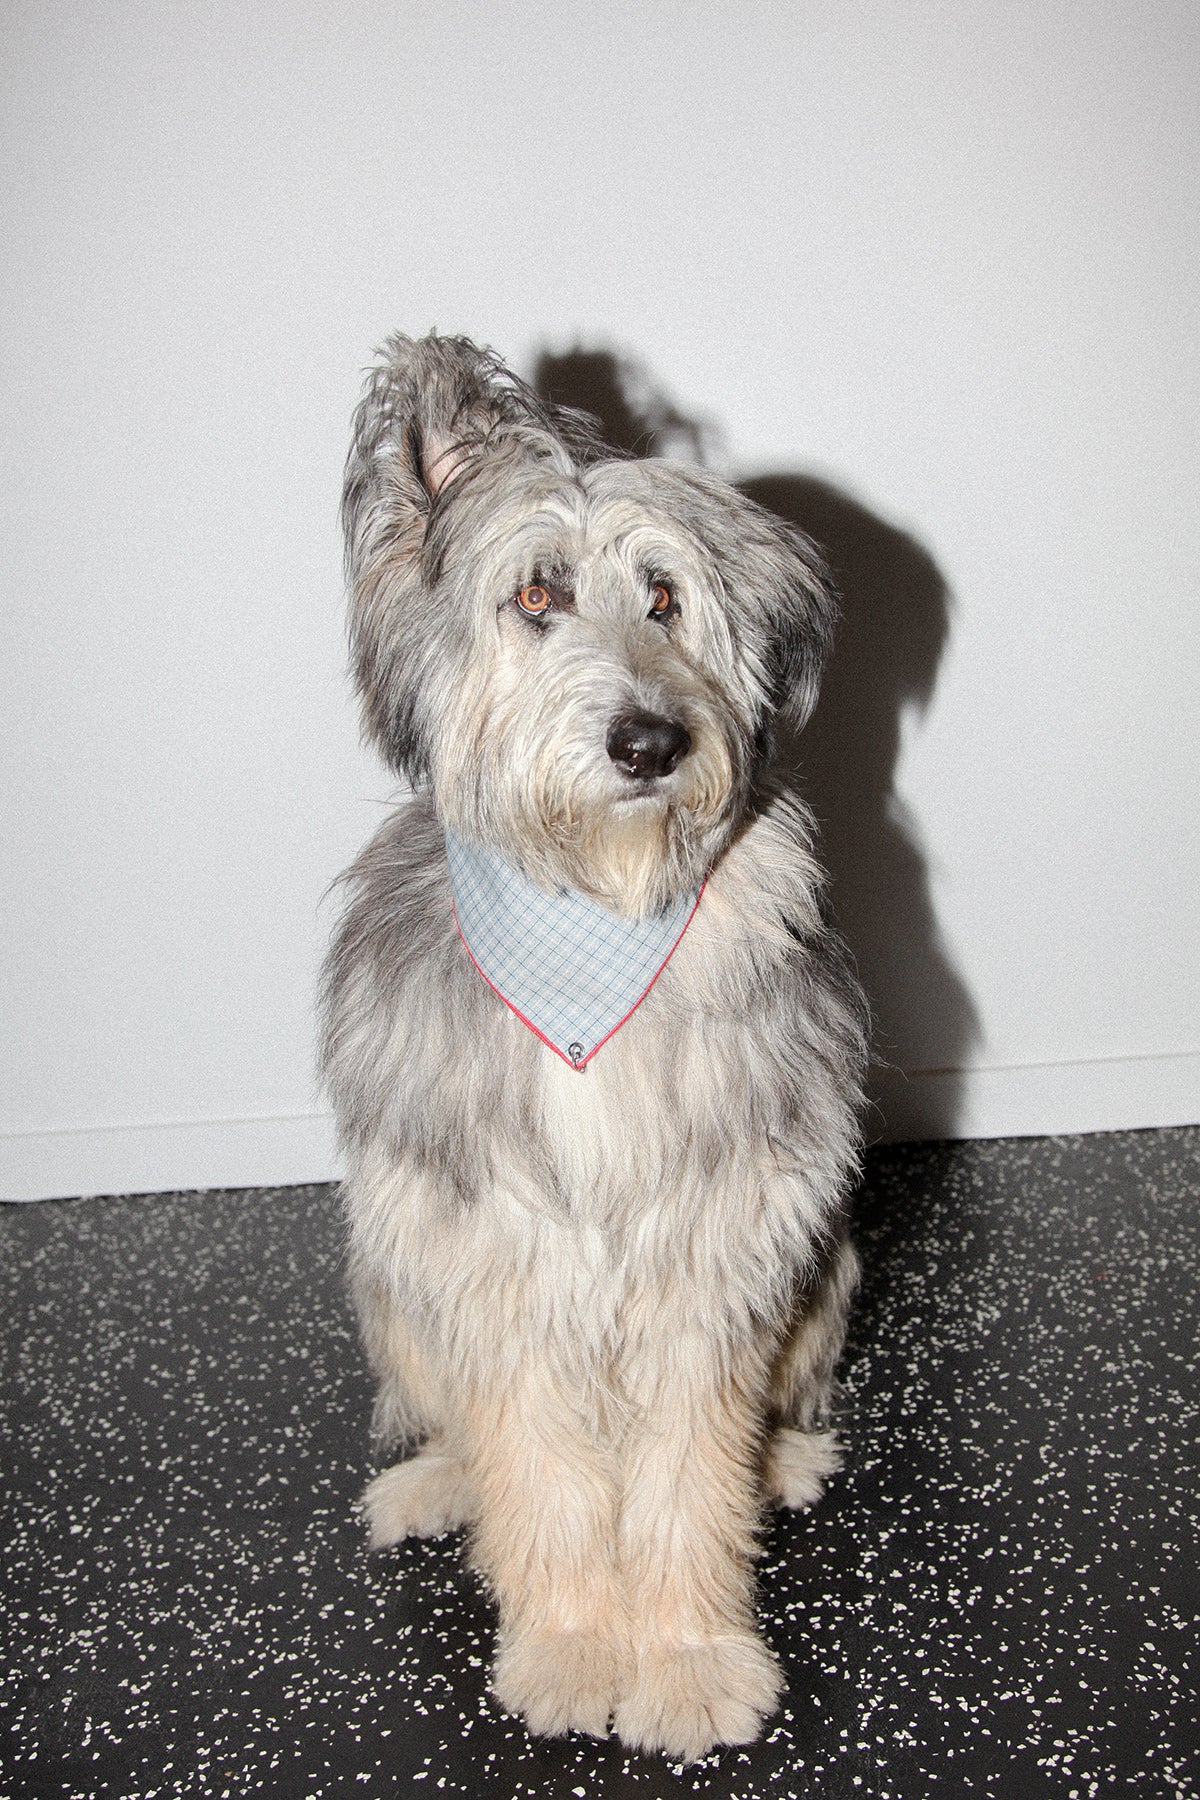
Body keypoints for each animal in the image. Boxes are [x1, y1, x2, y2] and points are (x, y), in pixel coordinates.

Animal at [318, 338, 867, 1756]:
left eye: (666, 599)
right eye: (537, 594)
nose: (652, 743)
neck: (595, 912)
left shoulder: (713, 1252)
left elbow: (685, 1483)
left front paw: (685, 1659)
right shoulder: (500, 1263)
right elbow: (544, 1477)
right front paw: (569, 1648)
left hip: (823, 1269)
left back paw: (787, 1458)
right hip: (394, 1277)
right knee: (459, 1429)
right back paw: (432, 1485)